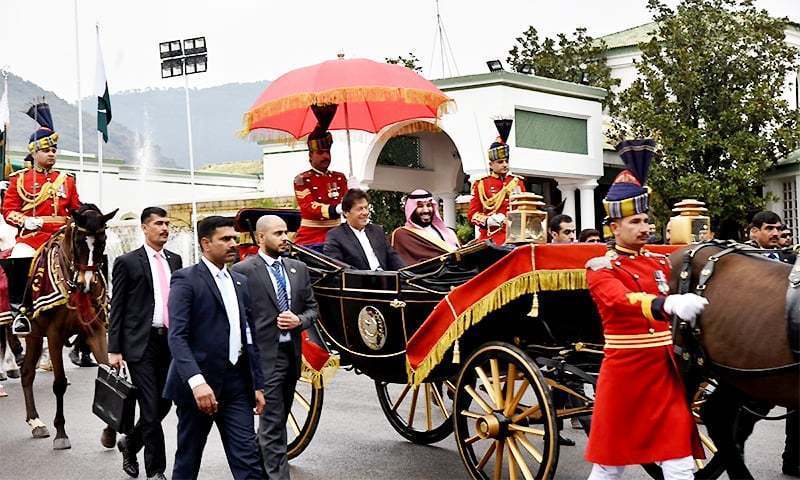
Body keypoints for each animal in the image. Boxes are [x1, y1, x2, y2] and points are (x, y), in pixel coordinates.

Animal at [20, 203, 118, 450]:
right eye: (79, 241)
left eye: (102, 240)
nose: (87, 284)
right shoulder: (54, 334)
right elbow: (59, 383)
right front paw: (61, 433)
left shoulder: (96, 331)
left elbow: (107, 370)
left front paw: (109, 432)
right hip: (33, 333)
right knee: (27, 373)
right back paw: (35, 421)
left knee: (27, 372)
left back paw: (35, 421)